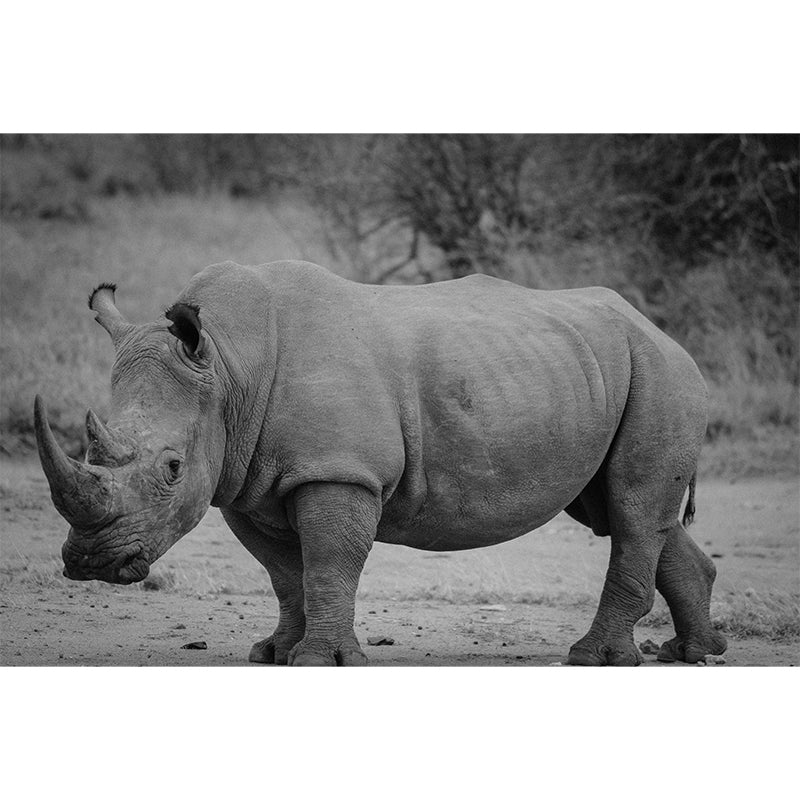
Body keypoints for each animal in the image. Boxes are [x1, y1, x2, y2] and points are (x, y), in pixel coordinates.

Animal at [35, 260, 727, 666]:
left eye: (173, 468)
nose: (91, 564)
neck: (229, 367)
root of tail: (661, 330)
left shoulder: (337, 468)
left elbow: (328, 563)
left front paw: (319, 661)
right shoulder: (246, 480)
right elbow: (284, 572)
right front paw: (274, 652)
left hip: (661, 374)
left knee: (632, 507)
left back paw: (592, 658)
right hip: (598, 371)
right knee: (622, 508)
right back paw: (691, 652)